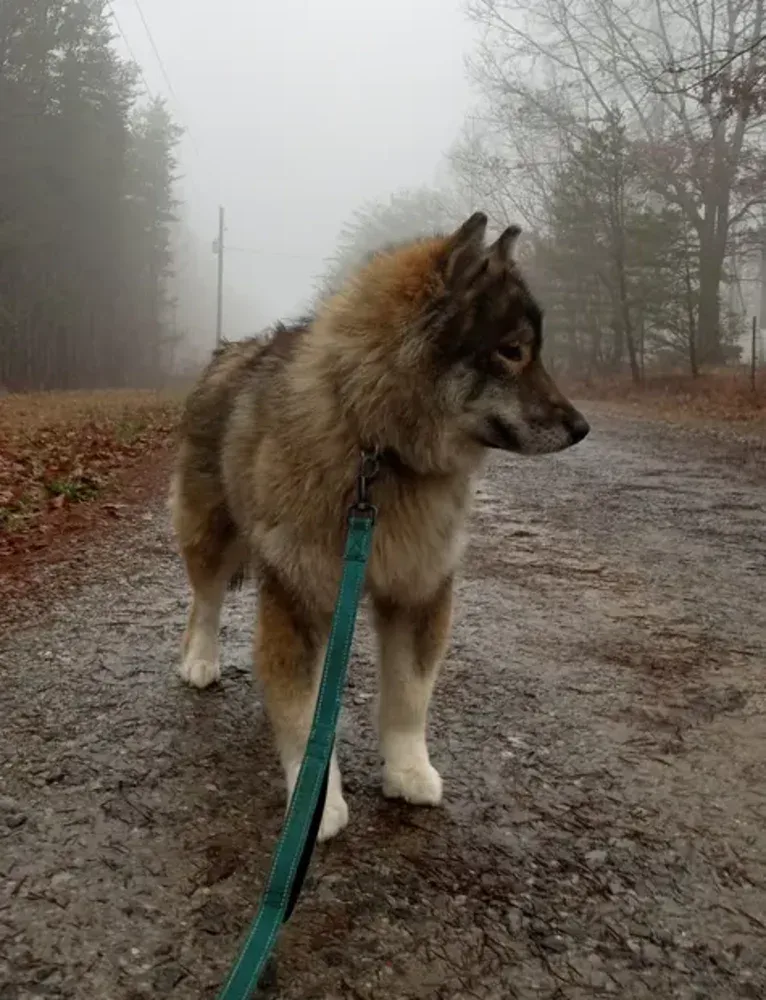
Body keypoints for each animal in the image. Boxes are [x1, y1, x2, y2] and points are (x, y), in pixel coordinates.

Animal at [166, 213, 588, 844]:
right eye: (512, 351)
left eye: (533, 352)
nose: (582, 427)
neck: (377, 449)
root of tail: (229, 352)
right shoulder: (301, 599)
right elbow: (304, 713)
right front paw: (316, 803)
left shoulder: (418, 590)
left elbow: (409, 697)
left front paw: (408, 770)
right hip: (213, 532)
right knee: (206, 598)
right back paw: (199, 658)